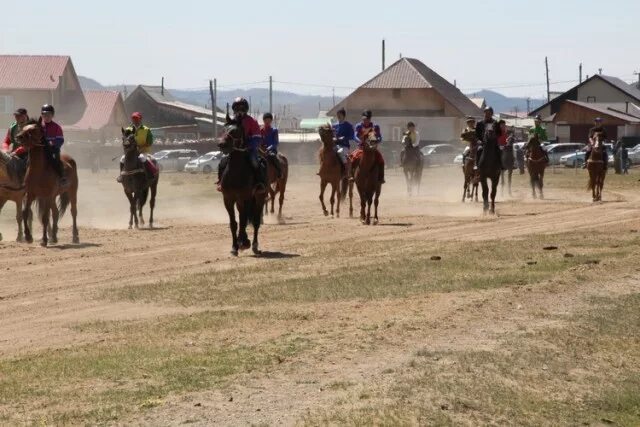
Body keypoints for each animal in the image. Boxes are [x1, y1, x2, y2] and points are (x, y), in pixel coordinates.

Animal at [216, 115, 264, 256]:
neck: (235, 172)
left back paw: (254, 245)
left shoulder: (247, 198)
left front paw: (243, 242)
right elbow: (234, 223)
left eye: (235, 131)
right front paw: (234, 247)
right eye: (224, 129)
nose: (221, 144)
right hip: (239, 202)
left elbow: (243, 221)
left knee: (256, 221)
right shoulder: (228, 199)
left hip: (259, 198)